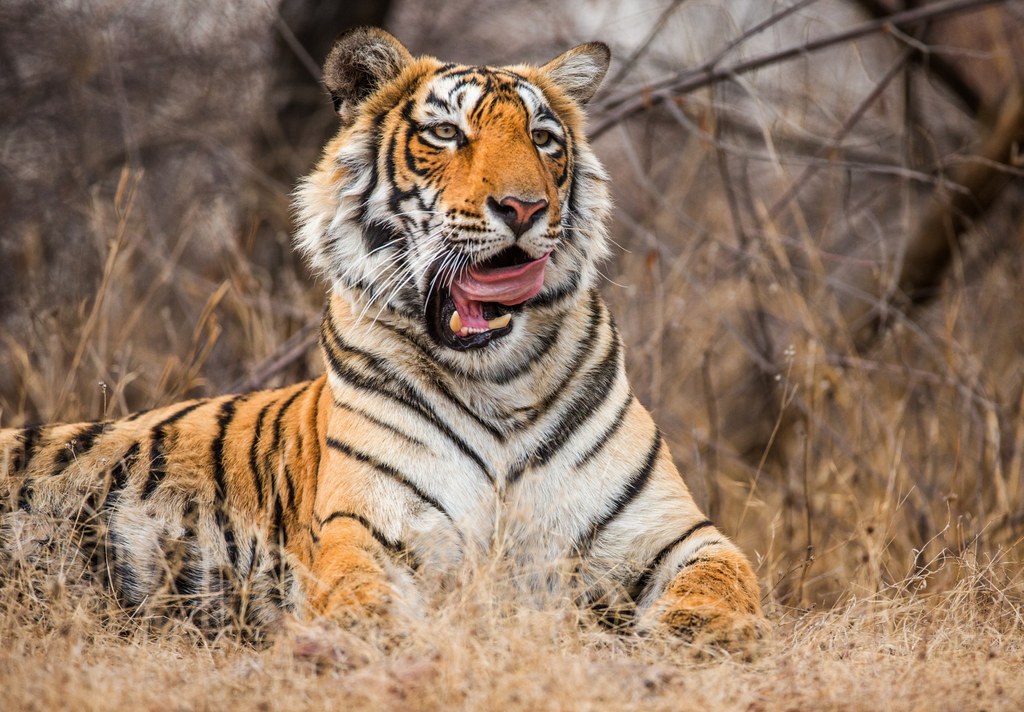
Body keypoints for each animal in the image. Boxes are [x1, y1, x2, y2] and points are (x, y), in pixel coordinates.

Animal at [0, 29, 765, 647]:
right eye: (448, 134)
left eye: (544, 140)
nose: (524, 208)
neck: (500, 377)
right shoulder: (372, 530)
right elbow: (363, 600)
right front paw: (361, 643)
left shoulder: (672, 532)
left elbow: (723, 577)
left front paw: (698, 635)